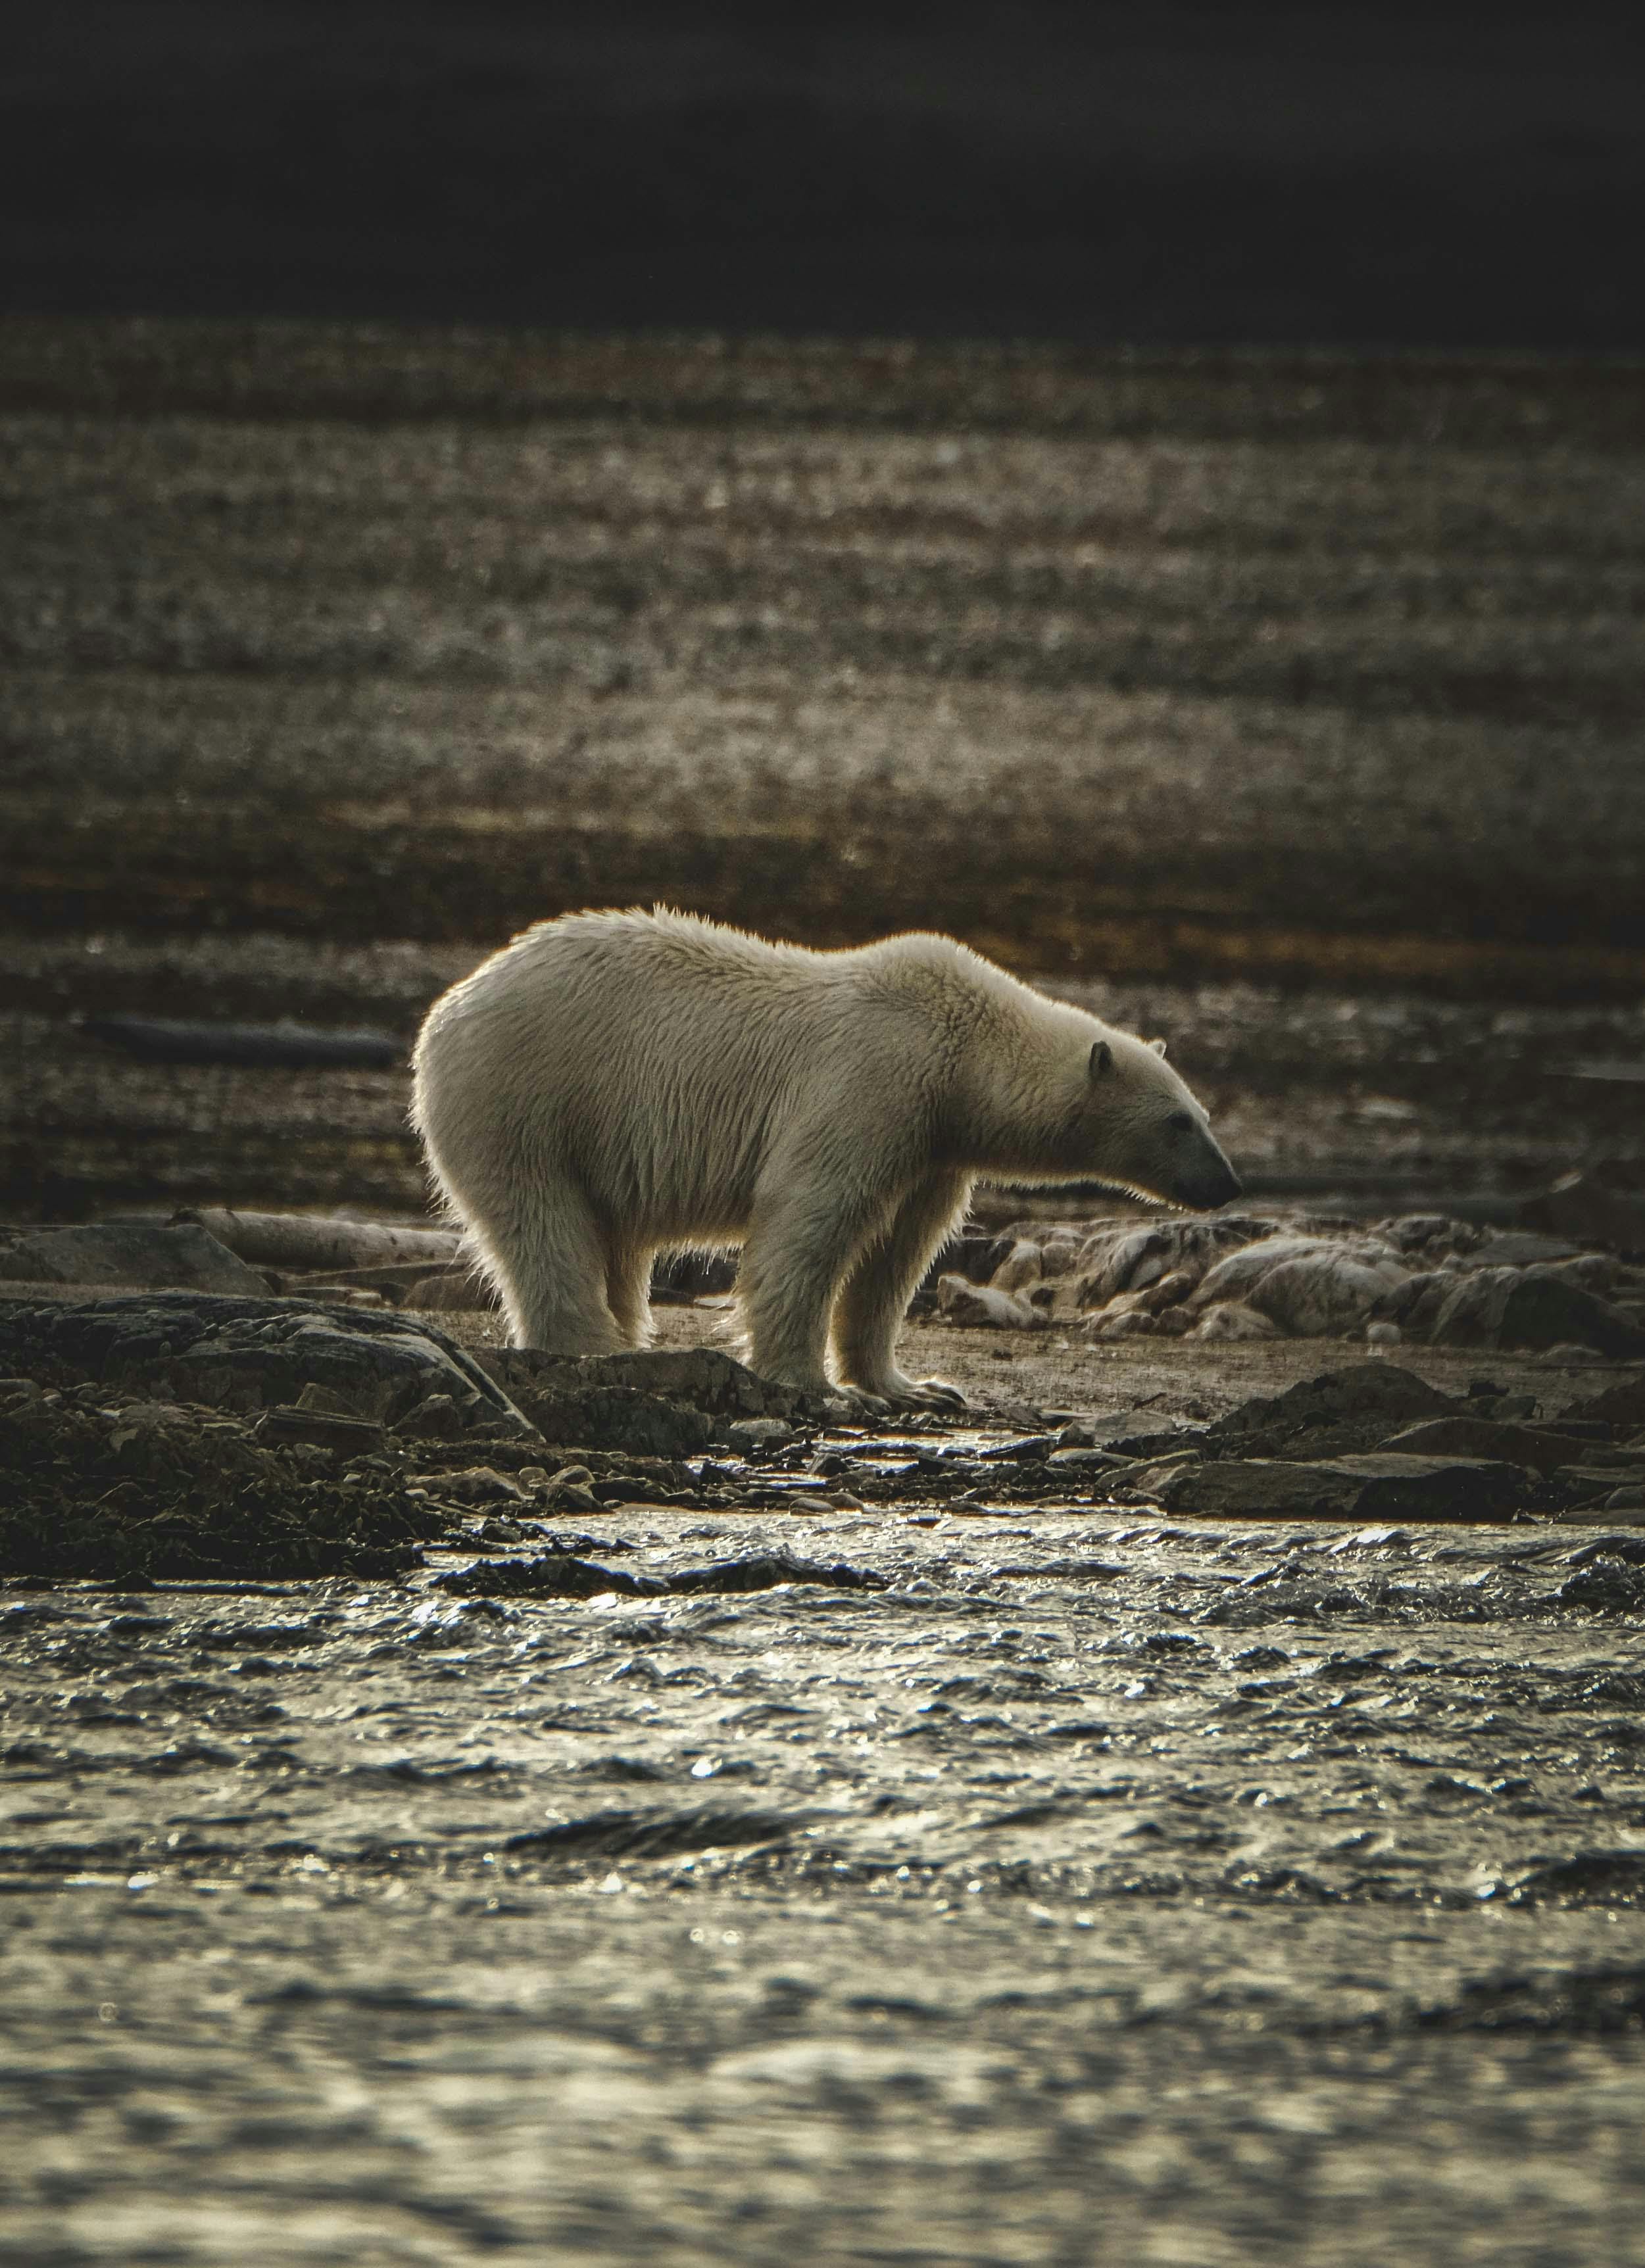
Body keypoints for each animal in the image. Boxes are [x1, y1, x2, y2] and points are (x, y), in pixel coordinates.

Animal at [410, 907, 1239, 1407]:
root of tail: (452, 1004)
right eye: (1176, 1121)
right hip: (525, 1097)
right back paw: (591, 1346)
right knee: (542, 1220)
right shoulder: (872, 1083)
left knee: (610, 1238)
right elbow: (808, 1218)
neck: (963, 1052)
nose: (1226, 1184)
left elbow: (897, 1254)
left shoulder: (931, 1147)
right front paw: (808, 1381)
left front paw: (912, 1384)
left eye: (1202, 1114)